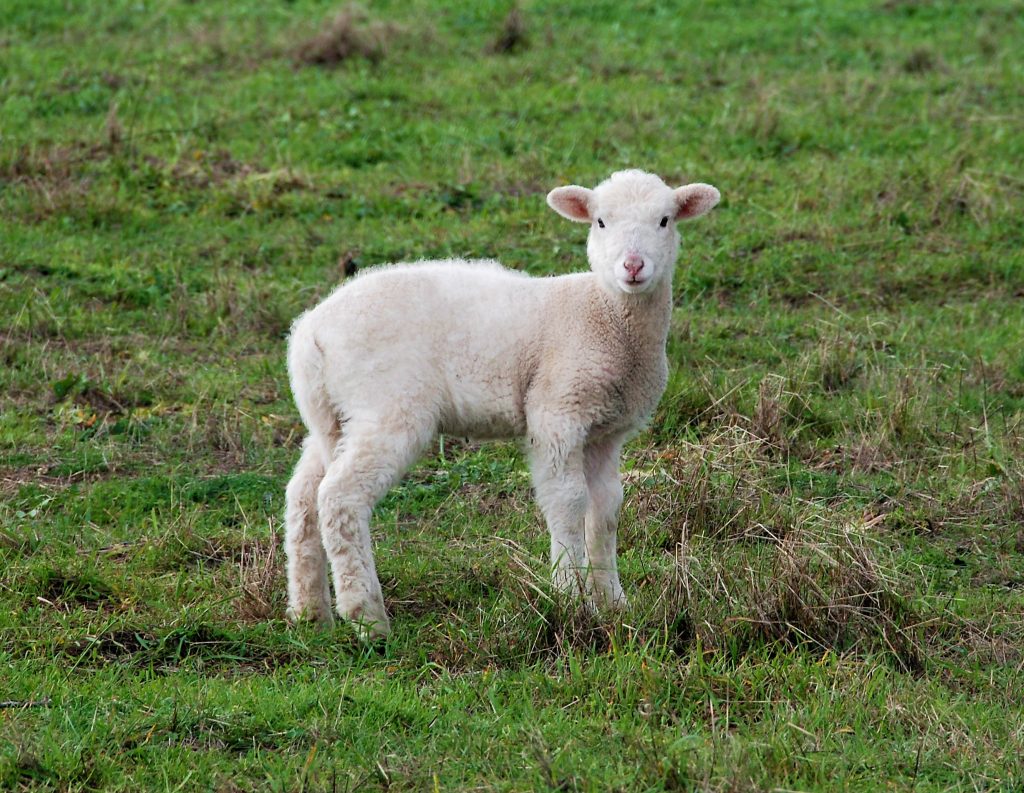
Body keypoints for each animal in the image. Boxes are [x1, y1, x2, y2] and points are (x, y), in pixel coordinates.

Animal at [284, 169, 721, 639]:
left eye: (664, 221)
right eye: (600, 222)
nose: (634, 266)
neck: (603, 313)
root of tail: (310, 334)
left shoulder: (607, 431)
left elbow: (605, 509)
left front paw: (613, 603)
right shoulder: (557, 412)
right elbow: (568, 502)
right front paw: (571, 599)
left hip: (332, 417)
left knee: (303, 496)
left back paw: (310, 611)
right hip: (387, 405)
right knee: (339, 498)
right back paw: (367, 616)